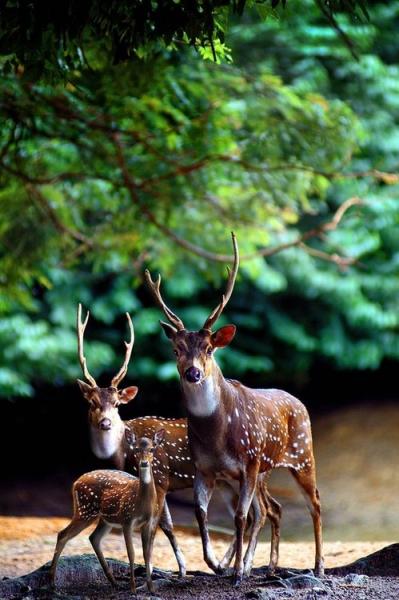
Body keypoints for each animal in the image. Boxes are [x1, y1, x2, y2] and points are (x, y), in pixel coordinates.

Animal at [49, 428, 166, 592]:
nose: (144, 463)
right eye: (136, 449)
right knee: (63, 534)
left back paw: (114, 582)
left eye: (152, 449)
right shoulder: (126, 519)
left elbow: (147, 553)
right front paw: (133, 588)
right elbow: (131, 553)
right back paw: (52, 582)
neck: (142, 504)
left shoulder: (148, 522)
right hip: (85, 511)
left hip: (105, 519)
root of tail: (75, 482)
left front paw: (151, 588)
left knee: (93, 538)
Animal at [76, 308, 282, 576]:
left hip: (255, 473)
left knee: (263, 511)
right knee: (263, 511)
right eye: (92, 403)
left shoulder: (160, 475)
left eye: (117, 404)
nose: (105, 423)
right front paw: (179, 568)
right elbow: (166, 524)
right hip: (233, 480)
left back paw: (241, 566)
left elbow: (163, 525)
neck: (123, 452)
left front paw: (177, 569)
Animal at [145, 233, 324, 584]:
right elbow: (201, 513)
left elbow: (240, 517)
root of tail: (299, 402)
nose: (193, 373)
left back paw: (318, 565)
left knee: (313, 503)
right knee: (271, 509)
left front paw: (237, 571)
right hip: (266, 469)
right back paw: (266, 565)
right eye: (176, 349)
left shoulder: (249, 462)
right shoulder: (205, 468)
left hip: (301, 454)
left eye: (209, 348)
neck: (217, 434)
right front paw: (216, 564)